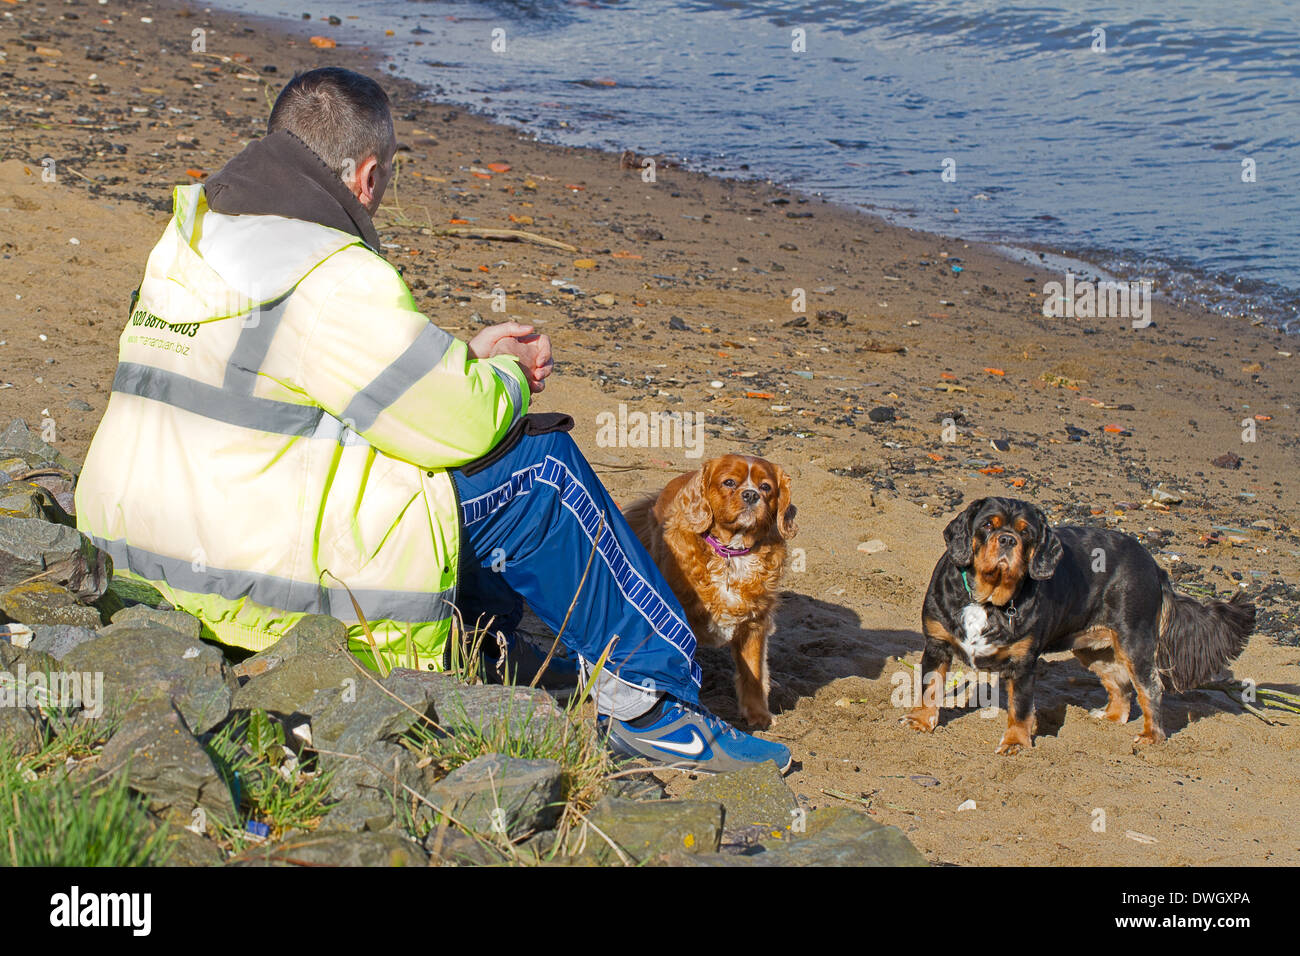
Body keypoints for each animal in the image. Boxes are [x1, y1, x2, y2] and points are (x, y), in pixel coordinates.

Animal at [624, 455, 795, 723]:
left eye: (766, 487)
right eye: (729, 482)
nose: (751, 494)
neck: (732, 554)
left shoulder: (755, 623)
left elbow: (754, 672)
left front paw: (758, 715)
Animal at [904, 496, 1248, 749]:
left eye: (1026, 532)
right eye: (988, 525)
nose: (1008, 540)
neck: (987, 601)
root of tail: (1155, 566)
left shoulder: (1023, 663)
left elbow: (1020, 707)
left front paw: (1016, 743)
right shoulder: (936, 645)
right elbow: (929, 688)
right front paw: (920, 721)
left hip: (1134, 643)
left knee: (1150, 688)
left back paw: (1152, 736)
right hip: (1095, 650)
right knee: (1120, 685)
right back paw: (1111, 716)